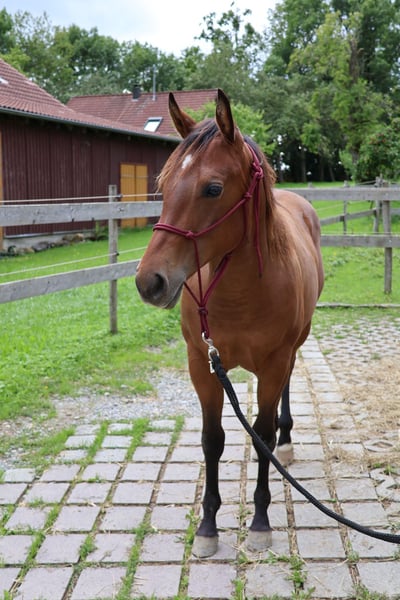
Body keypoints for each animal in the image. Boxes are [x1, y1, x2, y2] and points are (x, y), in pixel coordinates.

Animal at [135, 89, 324, 558]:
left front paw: (259, 522)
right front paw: (207, 526)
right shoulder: (203, 365)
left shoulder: (273, 363)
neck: (240, 293)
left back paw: (287, 442)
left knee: (285, 394)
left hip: (294, 347)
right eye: (164, 185)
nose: (150, 281)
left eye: (213, 189)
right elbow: (212, 440)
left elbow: (262, 436)